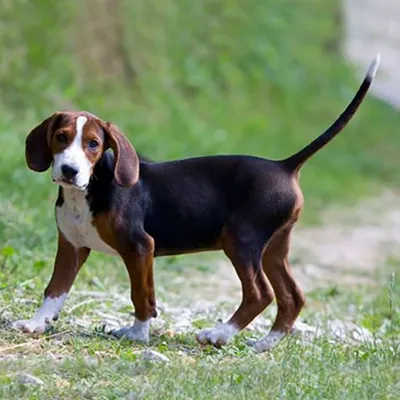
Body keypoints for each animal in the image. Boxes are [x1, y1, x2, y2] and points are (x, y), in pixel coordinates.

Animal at [10, 55, 380, 350]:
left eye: (93, 144)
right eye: (61, 138)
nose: (69, 171)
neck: (88, 191)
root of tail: (284, 165)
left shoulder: (140, 247)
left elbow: (142, 295)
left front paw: (138, 334)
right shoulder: (71, 247)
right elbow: (55, 289)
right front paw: (37, 323)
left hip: (241, 239)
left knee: (260, 294)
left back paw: (219, 334)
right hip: (274, 247)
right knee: (292, 297)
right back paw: (264, 344)